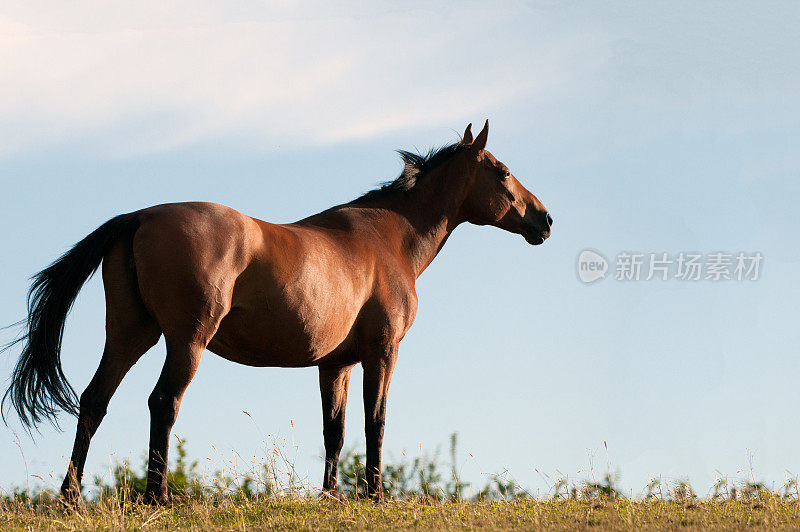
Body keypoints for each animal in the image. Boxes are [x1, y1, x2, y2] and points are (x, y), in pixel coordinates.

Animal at [1, 120, 552, 502]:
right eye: (502, 172)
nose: (545, 220)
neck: (388, 238)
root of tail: (139, 217)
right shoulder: (382, 353)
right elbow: (375, 421)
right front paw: (375, 496)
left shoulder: (335, 364)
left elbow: (335, 430)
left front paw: (331, 496)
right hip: (186, 341)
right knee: (163, 403)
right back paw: (156, 497)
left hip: (130, 335)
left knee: (94, 401)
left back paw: (70, 498)